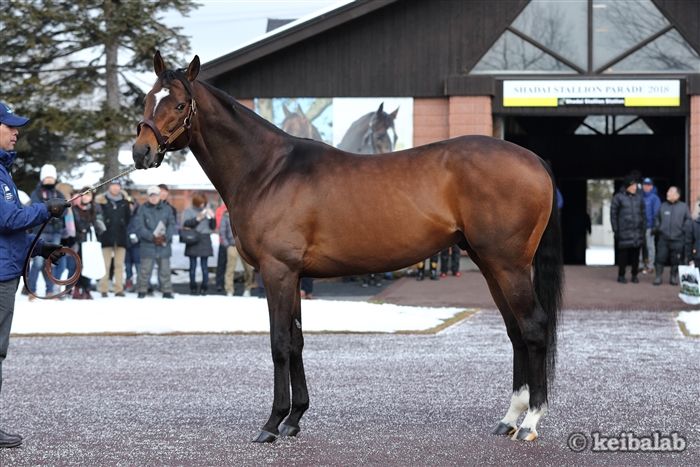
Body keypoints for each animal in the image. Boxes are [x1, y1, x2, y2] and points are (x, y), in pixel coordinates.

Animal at [133, 53, 564, 444]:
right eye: (148, 99)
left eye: (180, 104)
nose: (141, 152)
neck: (268, 171)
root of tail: (534, 160)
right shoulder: (294, 276)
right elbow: (297, 341)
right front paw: (294, 419)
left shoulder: (277, 272)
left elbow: (279, 344)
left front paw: (271, 424)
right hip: (490, 265)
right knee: (515, 331)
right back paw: (509, 418)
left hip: (508, 265)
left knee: (533, 327)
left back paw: (530, 422)